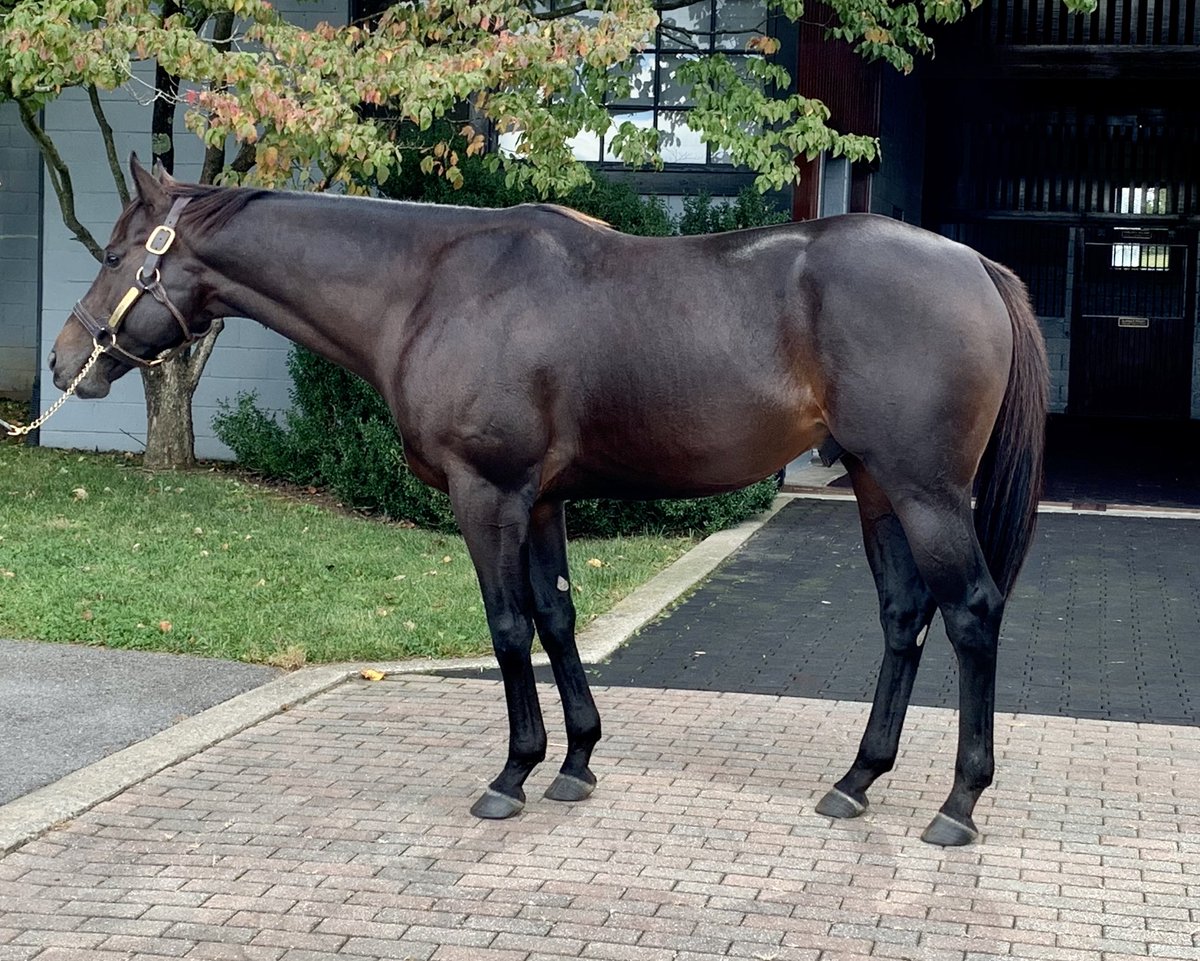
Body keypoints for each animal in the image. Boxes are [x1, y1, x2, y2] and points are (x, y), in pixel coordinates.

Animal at [49, 157, 1047, 847]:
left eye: (115, 253)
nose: (65, 360)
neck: (431, 286)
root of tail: (974, 265)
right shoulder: (540, 502)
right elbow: (558, 616)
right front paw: (576, 761)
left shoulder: (486, 493)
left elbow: (506, 625)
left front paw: (513, 772)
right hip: (878, 487)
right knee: (903, 614)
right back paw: (856, 780)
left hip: (924, 491)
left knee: (971, 612)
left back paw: (958, 803)